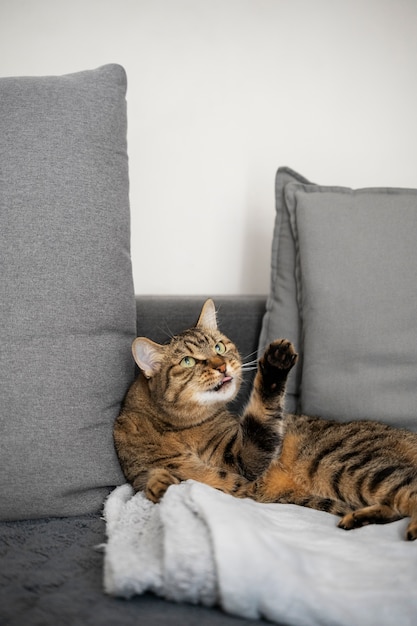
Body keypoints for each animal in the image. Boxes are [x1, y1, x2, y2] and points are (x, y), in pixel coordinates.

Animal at [113, 298, 416, 536]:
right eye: (188, 361)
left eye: (219, 347)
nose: (222, 366)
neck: (173, 428)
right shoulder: (141, 471)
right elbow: (155, 479)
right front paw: (162, 483)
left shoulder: (243, 460)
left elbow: (261, 417)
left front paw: (273, 367)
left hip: (344, 465)